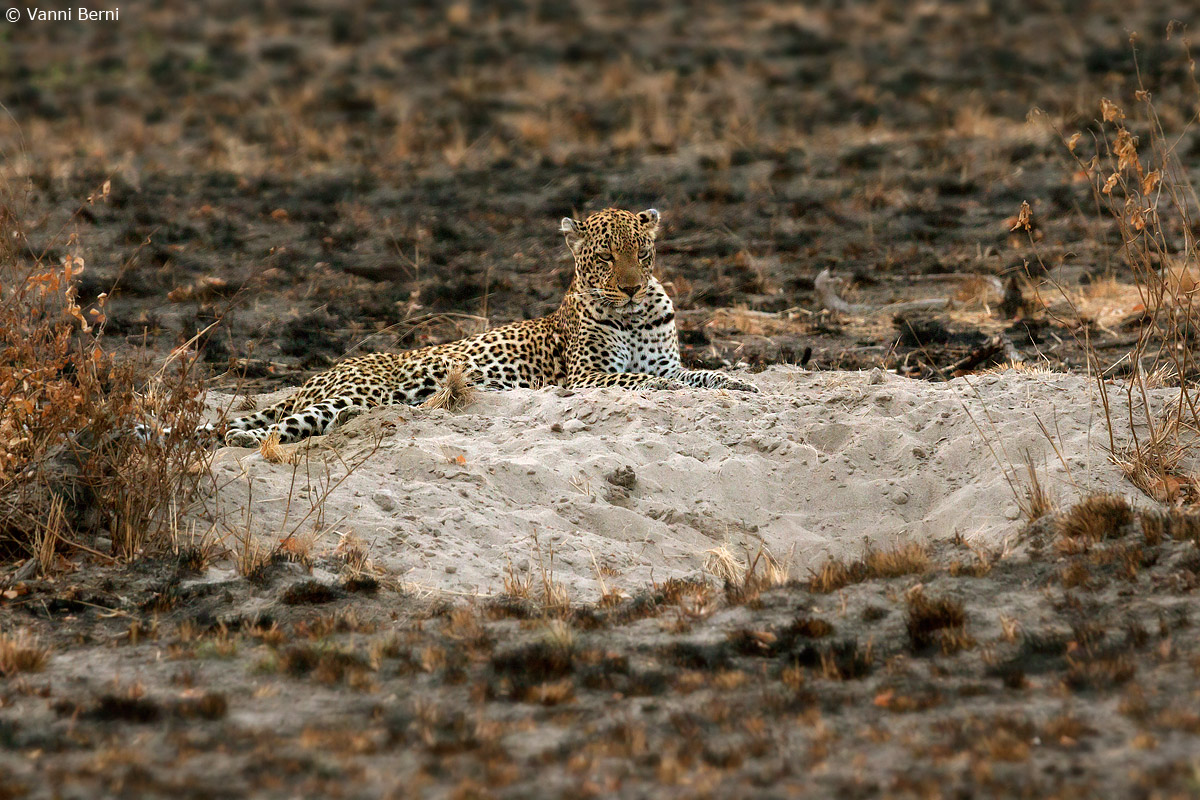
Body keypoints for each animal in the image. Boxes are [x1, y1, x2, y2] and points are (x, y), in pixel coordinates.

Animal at [217, 207, 757, 447]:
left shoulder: (668, 362)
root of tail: (317, 374)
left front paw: (737, 383)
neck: (635, 315)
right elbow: (638, 379)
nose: (629, 288)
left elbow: (695, 375)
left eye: (641, 254)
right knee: (261, 430)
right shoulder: (586, 375)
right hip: (356, 391)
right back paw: (245, 441)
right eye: (605, 257)